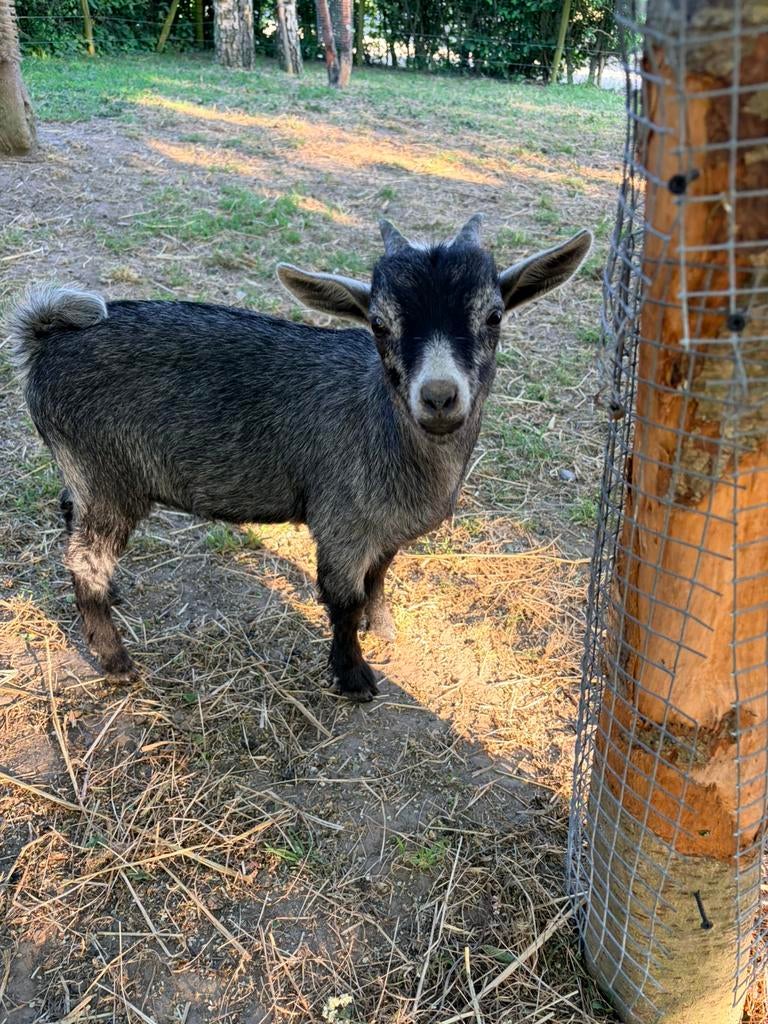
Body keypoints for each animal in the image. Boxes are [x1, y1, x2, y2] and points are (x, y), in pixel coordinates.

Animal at [8, 215, 591, 701]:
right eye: (379, 325)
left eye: (493, 316)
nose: (440, 396)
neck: (384, 427)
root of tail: (45, 340)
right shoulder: (342, 523)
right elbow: (342, 599)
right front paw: (354, 676)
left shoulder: (384, 529)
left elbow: (379, 576)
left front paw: (383, 628)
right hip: (107, 473)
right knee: (85, 557)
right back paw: (115, 660)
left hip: (85, 474)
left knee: (69, 512)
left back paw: (115, 595)